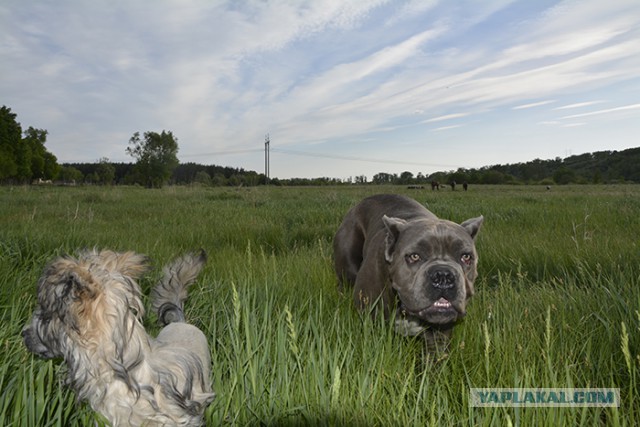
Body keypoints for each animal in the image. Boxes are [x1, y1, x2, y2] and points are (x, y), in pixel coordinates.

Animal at [332, 194, 482, 352]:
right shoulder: (372, 322)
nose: (443, 276)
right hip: (347, 267)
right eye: (414, 256)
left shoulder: (438, 337)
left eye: (466, 257)